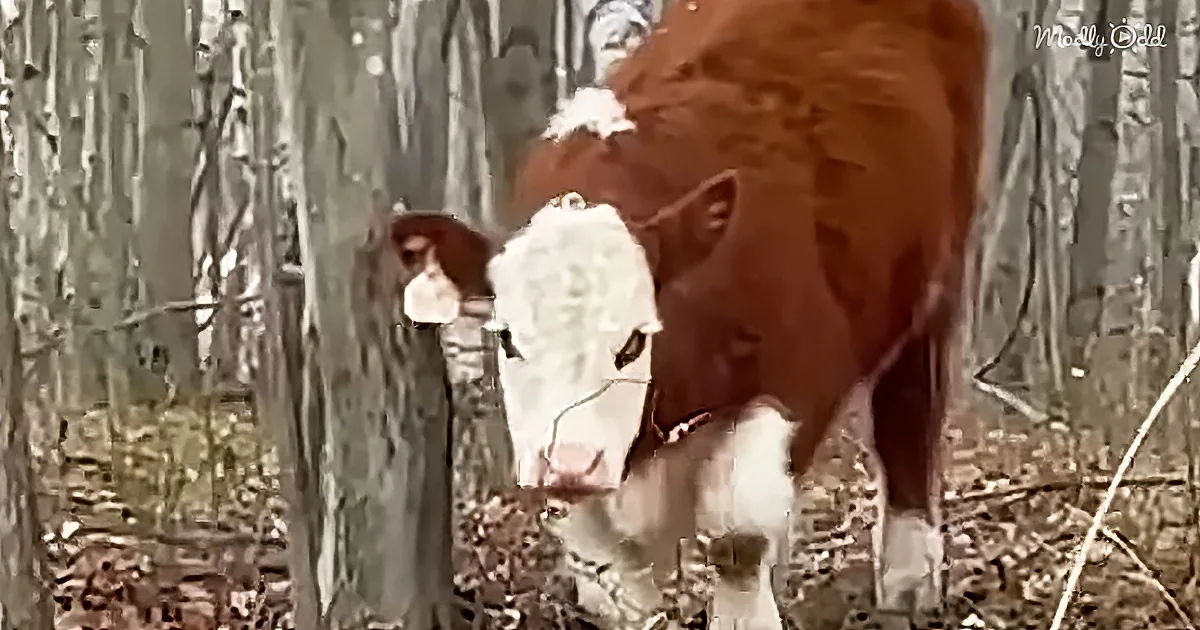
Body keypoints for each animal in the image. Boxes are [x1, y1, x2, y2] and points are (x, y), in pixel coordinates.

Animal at [390, 0, 988, 626]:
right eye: (508, 340)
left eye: (632, 341)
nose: (571, 463)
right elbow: (607, 576)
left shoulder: (803, 369)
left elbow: (737, 535)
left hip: (936, 276)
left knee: (908, 415)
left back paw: (908, 583)